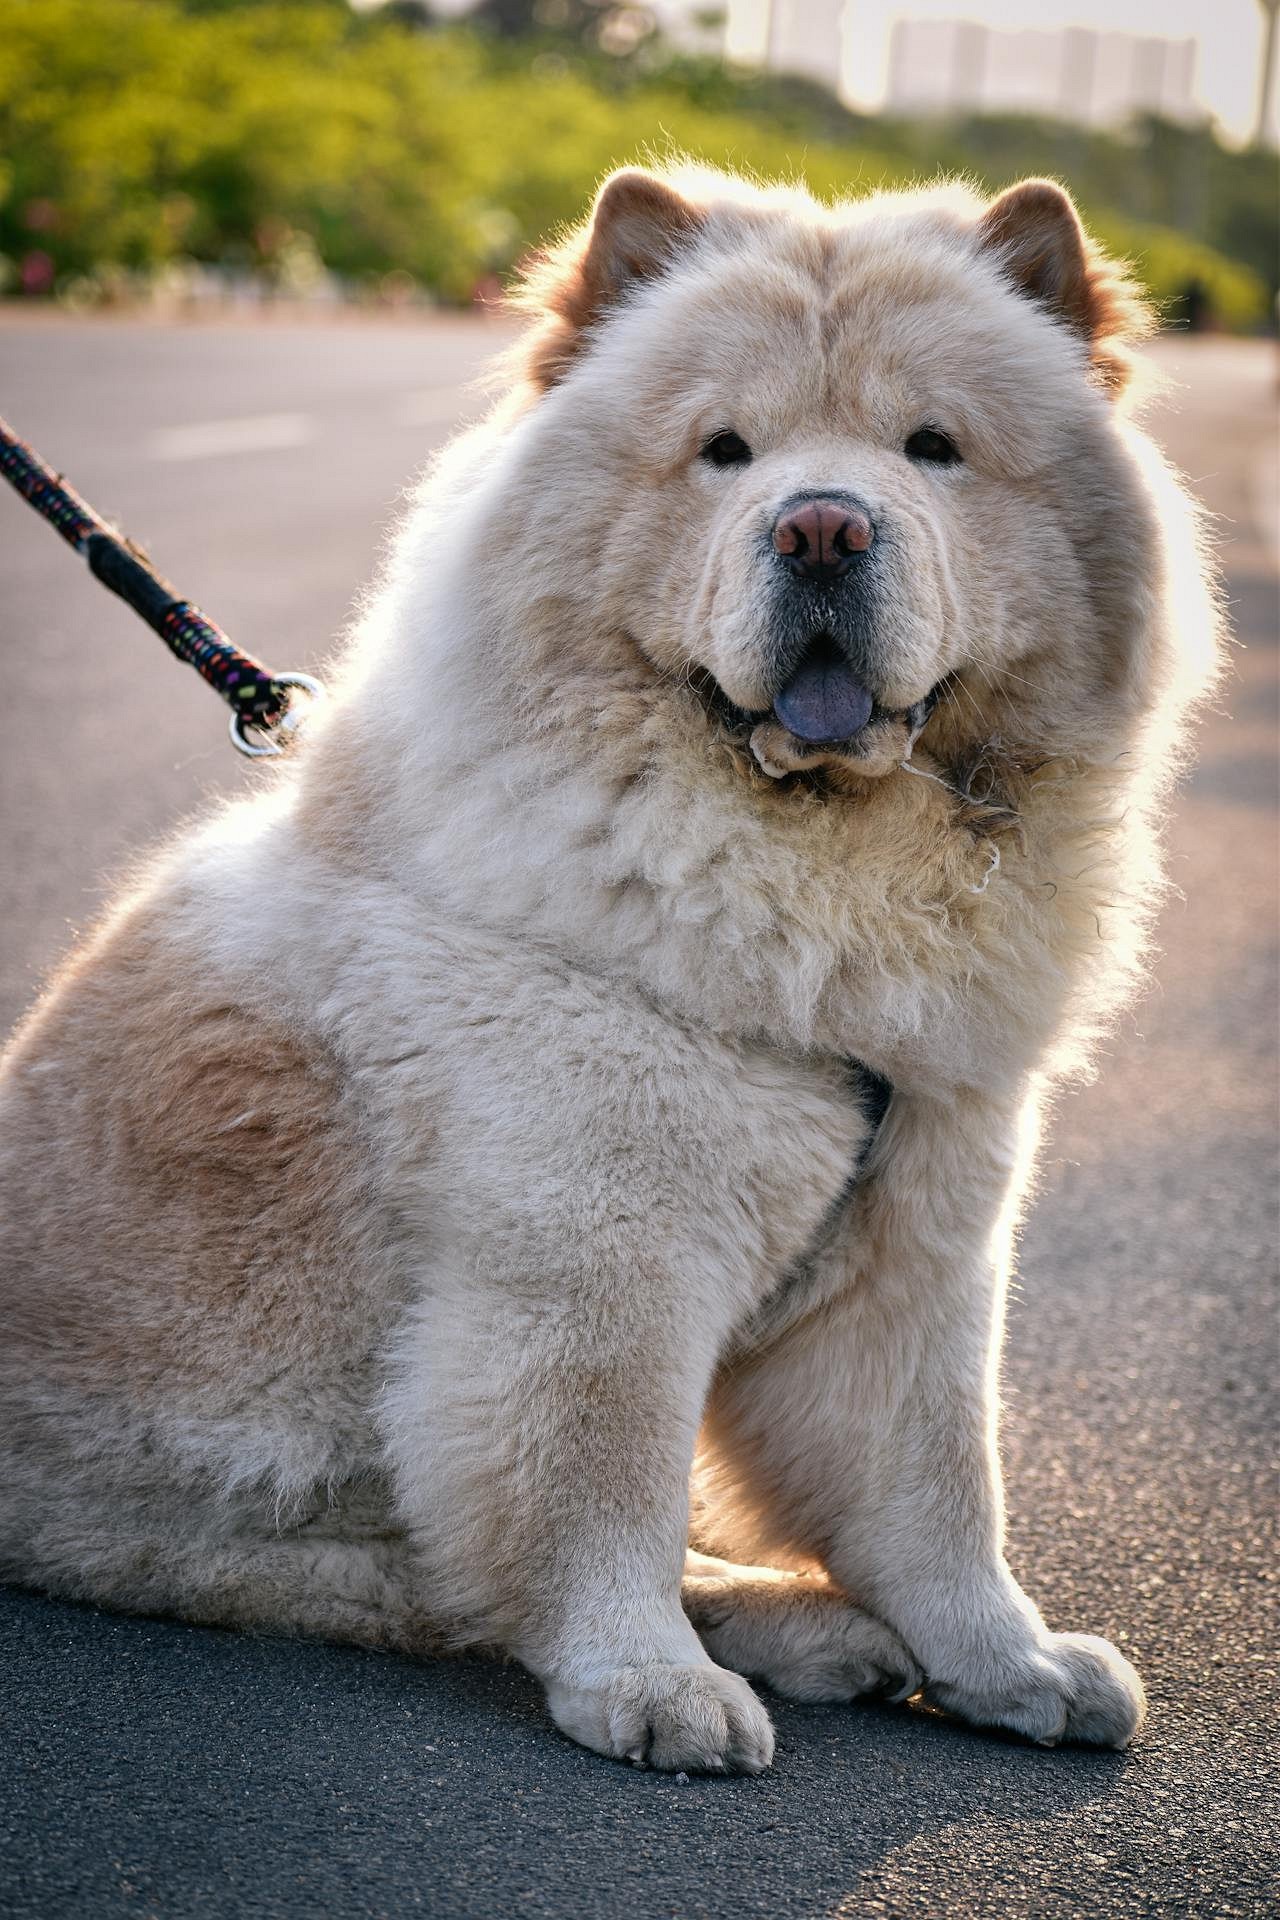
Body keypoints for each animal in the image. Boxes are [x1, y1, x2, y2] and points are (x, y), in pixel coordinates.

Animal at [0, 172, 1220, 1774]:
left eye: (933, 449)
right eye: (724, 451)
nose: (820, 528)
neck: (824, 873)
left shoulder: (921, 1245)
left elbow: (941, 1488)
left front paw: (1008, 1663)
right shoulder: (599, 1262)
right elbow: (604, 1491)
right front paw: (647, 1684)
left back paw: (808, 1622)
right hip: (238, 1522)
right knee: (438, 1579)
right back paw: (769, 1632)